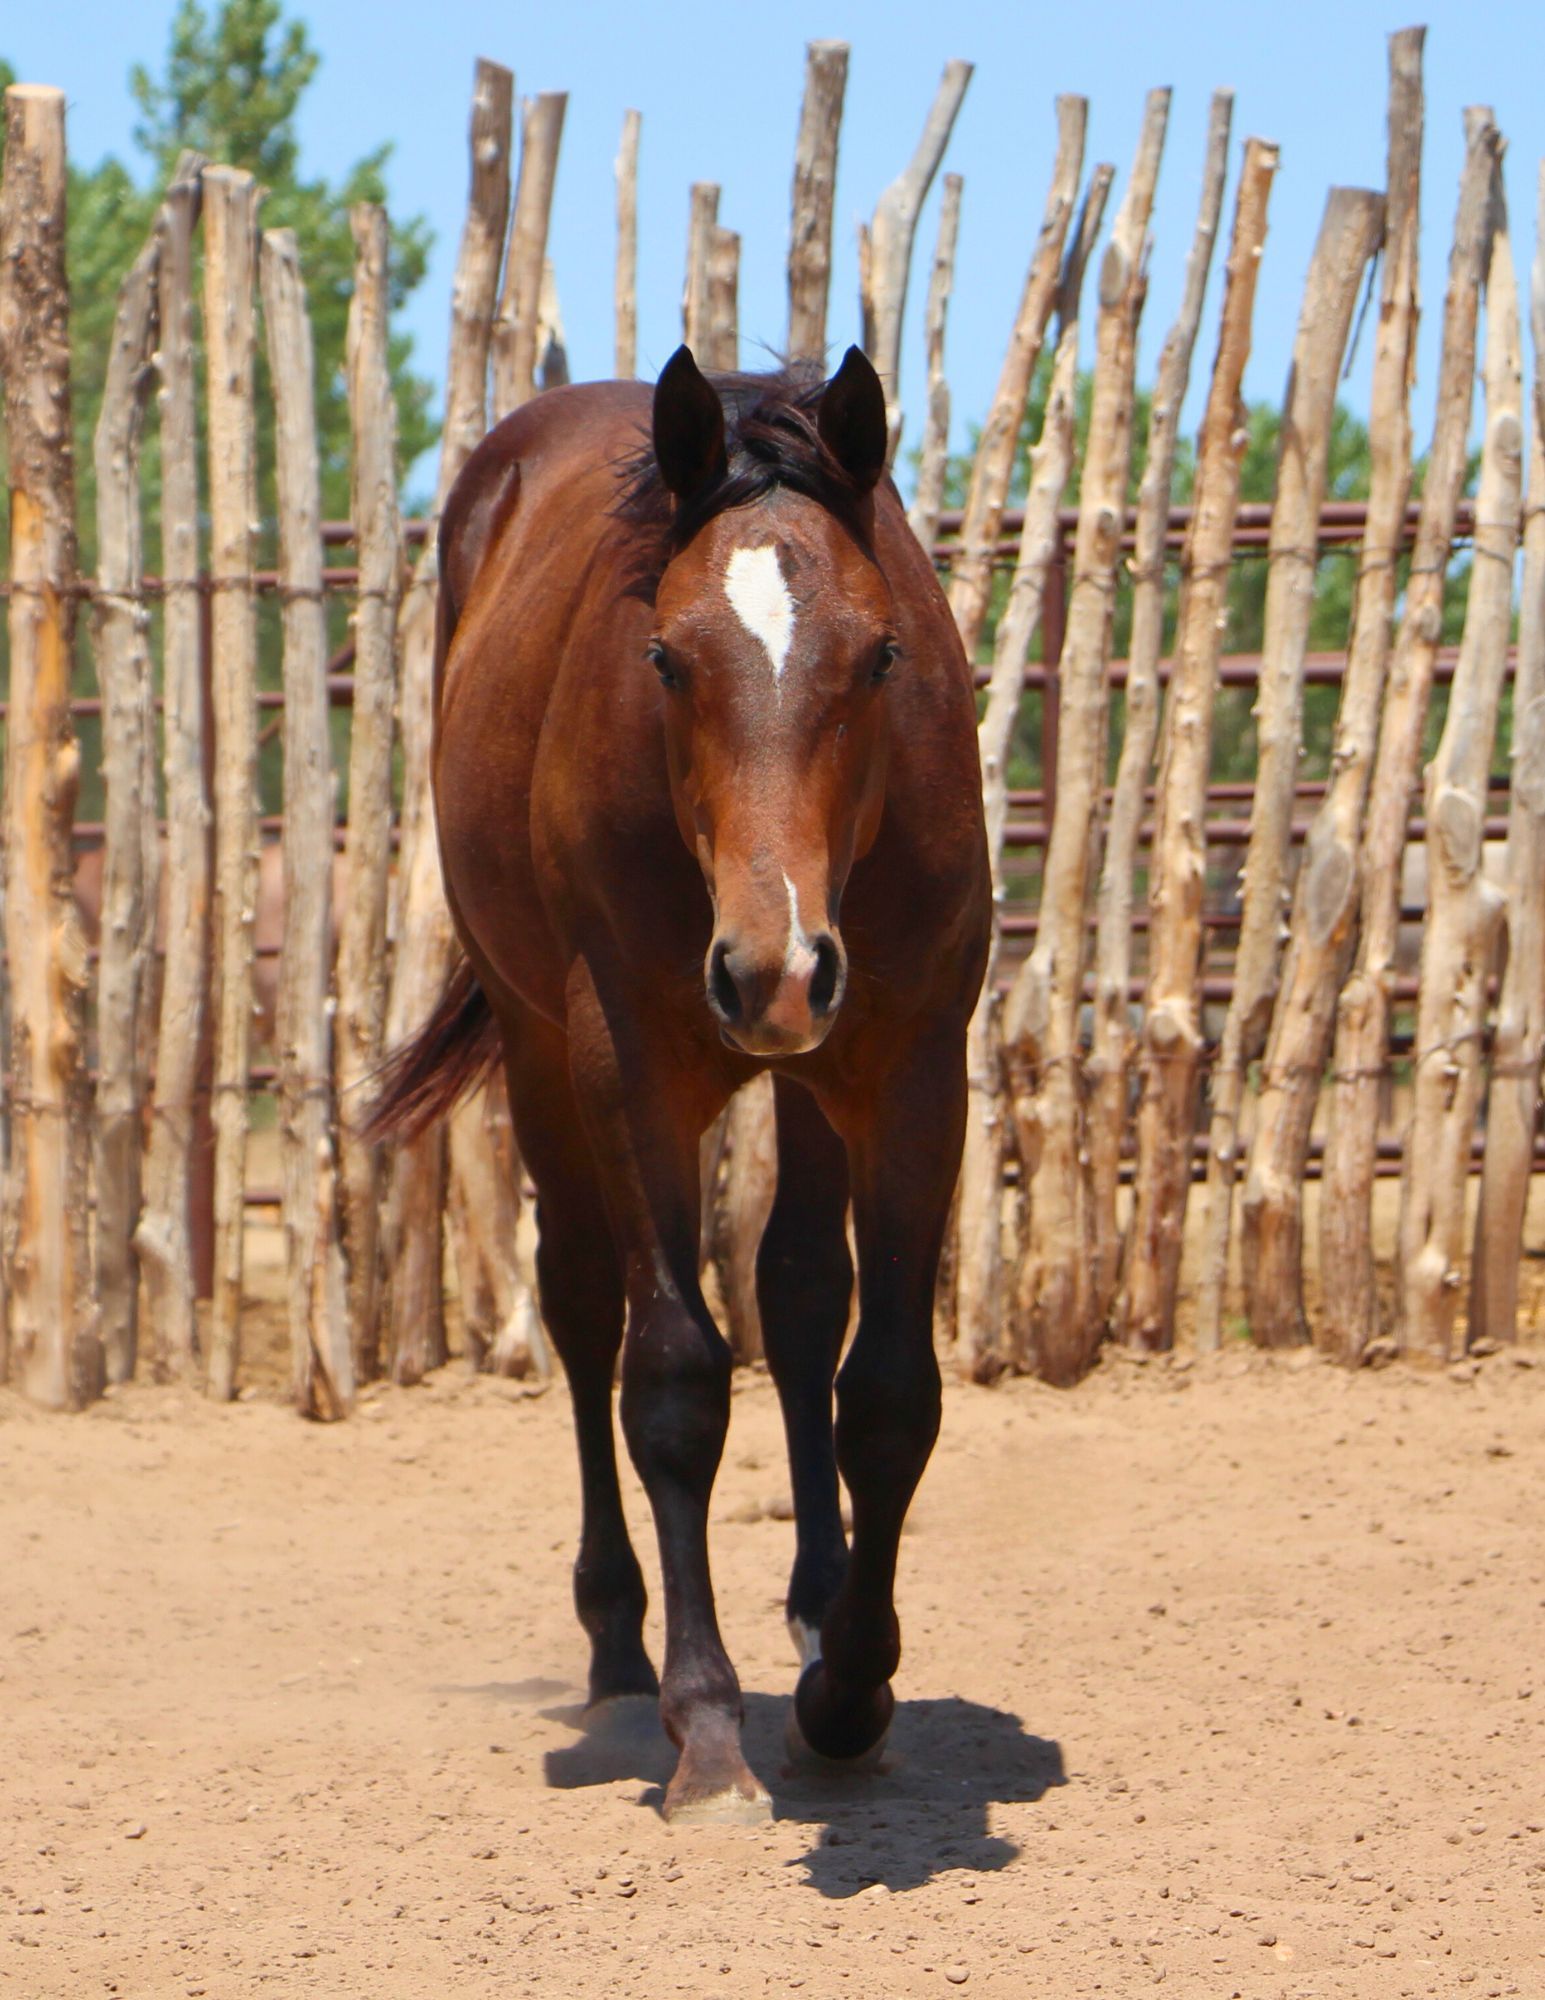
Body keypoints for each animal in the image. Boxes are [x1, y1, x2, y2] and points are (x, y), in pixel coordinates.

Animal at [370, 344, 990, 1823]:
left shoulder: (915, 1067)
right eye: (665, 655)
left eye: (881, 654)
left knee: (801, 1294)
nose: (774, 966)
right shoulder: (630, 1065)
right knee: (584, 1305)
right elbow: (673, 1382)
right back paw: (616, 1644)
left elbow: (888, 1391)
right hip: (544, 1048)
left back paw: (817, 1607)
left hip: (817, 1073)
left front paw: (849, 1690)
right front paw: (707, 1732)